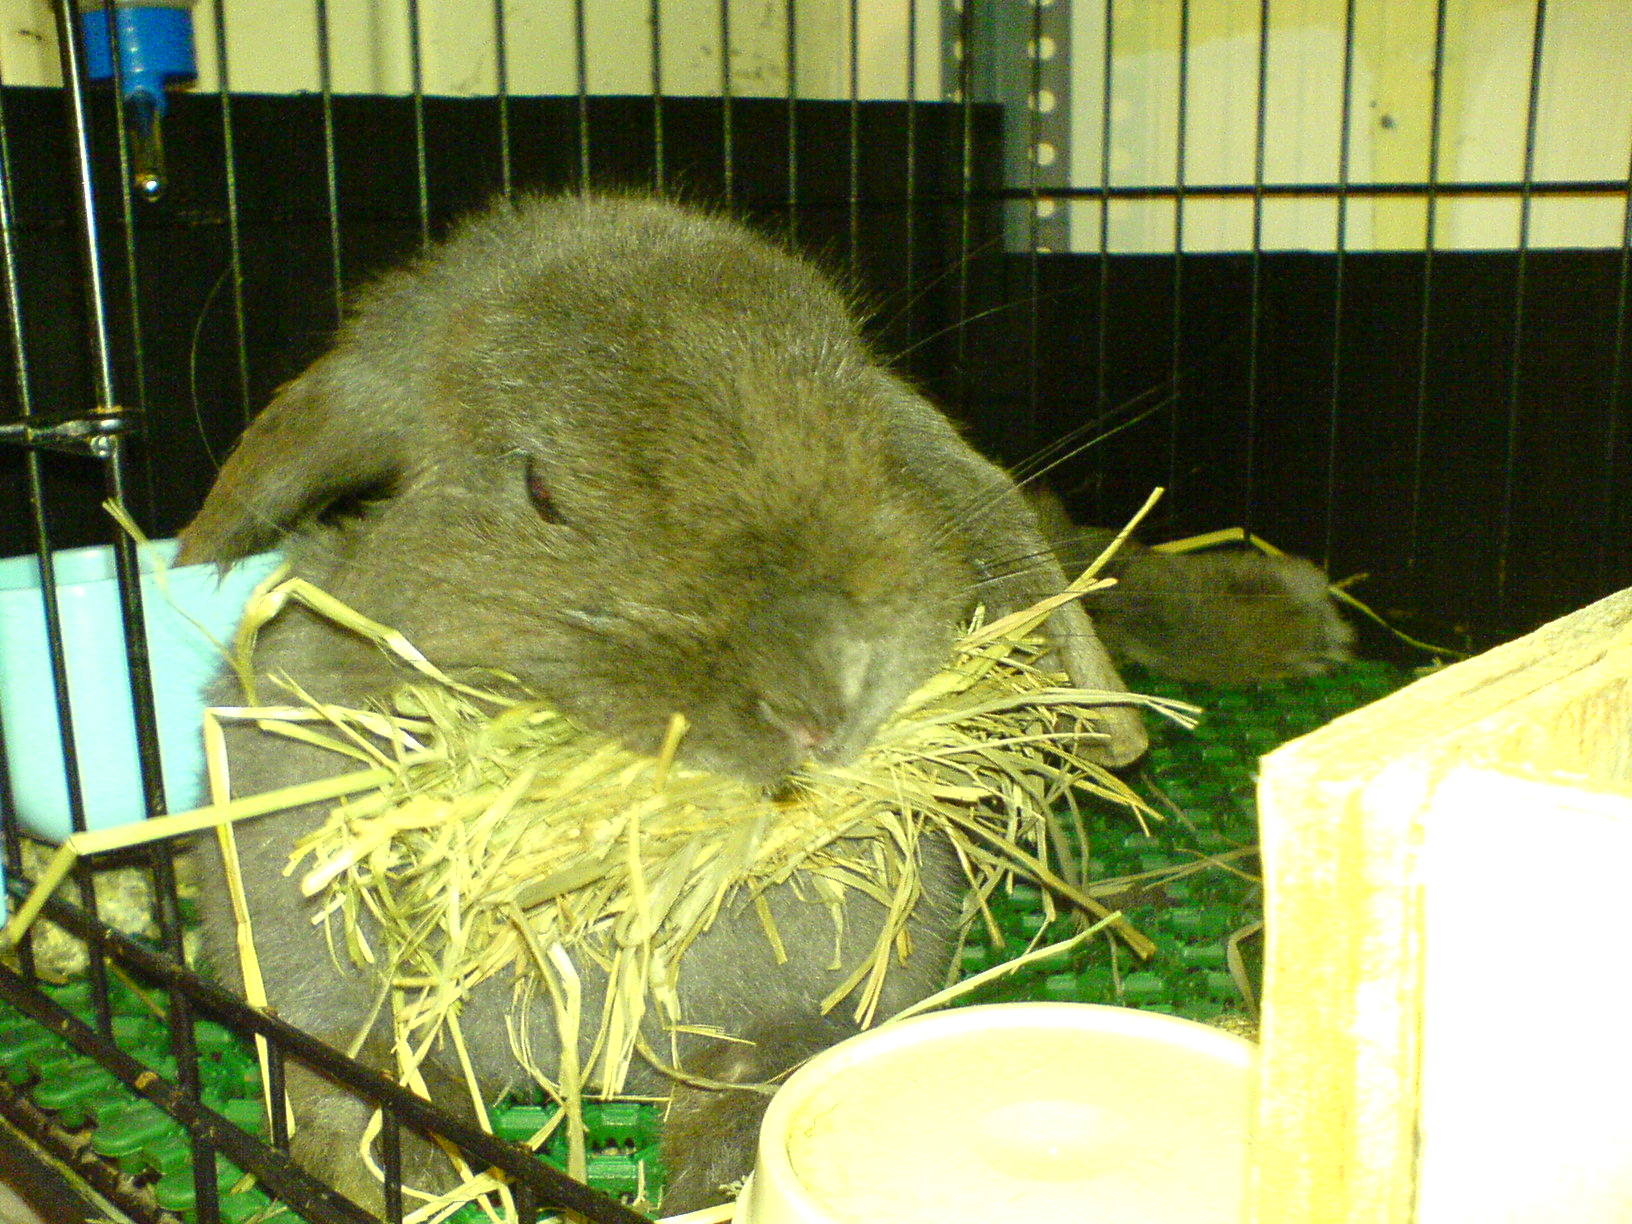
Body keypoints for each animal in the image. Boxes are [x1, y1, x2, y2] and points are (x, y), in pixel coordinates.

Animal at [176, 192, 1148, 1216]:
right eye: (540, 489)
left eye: (869, 441)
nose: (821, 696)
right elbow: (347, 1067)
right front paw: (407, 1165)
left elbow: (777, 1061)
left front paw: (720, 1169)